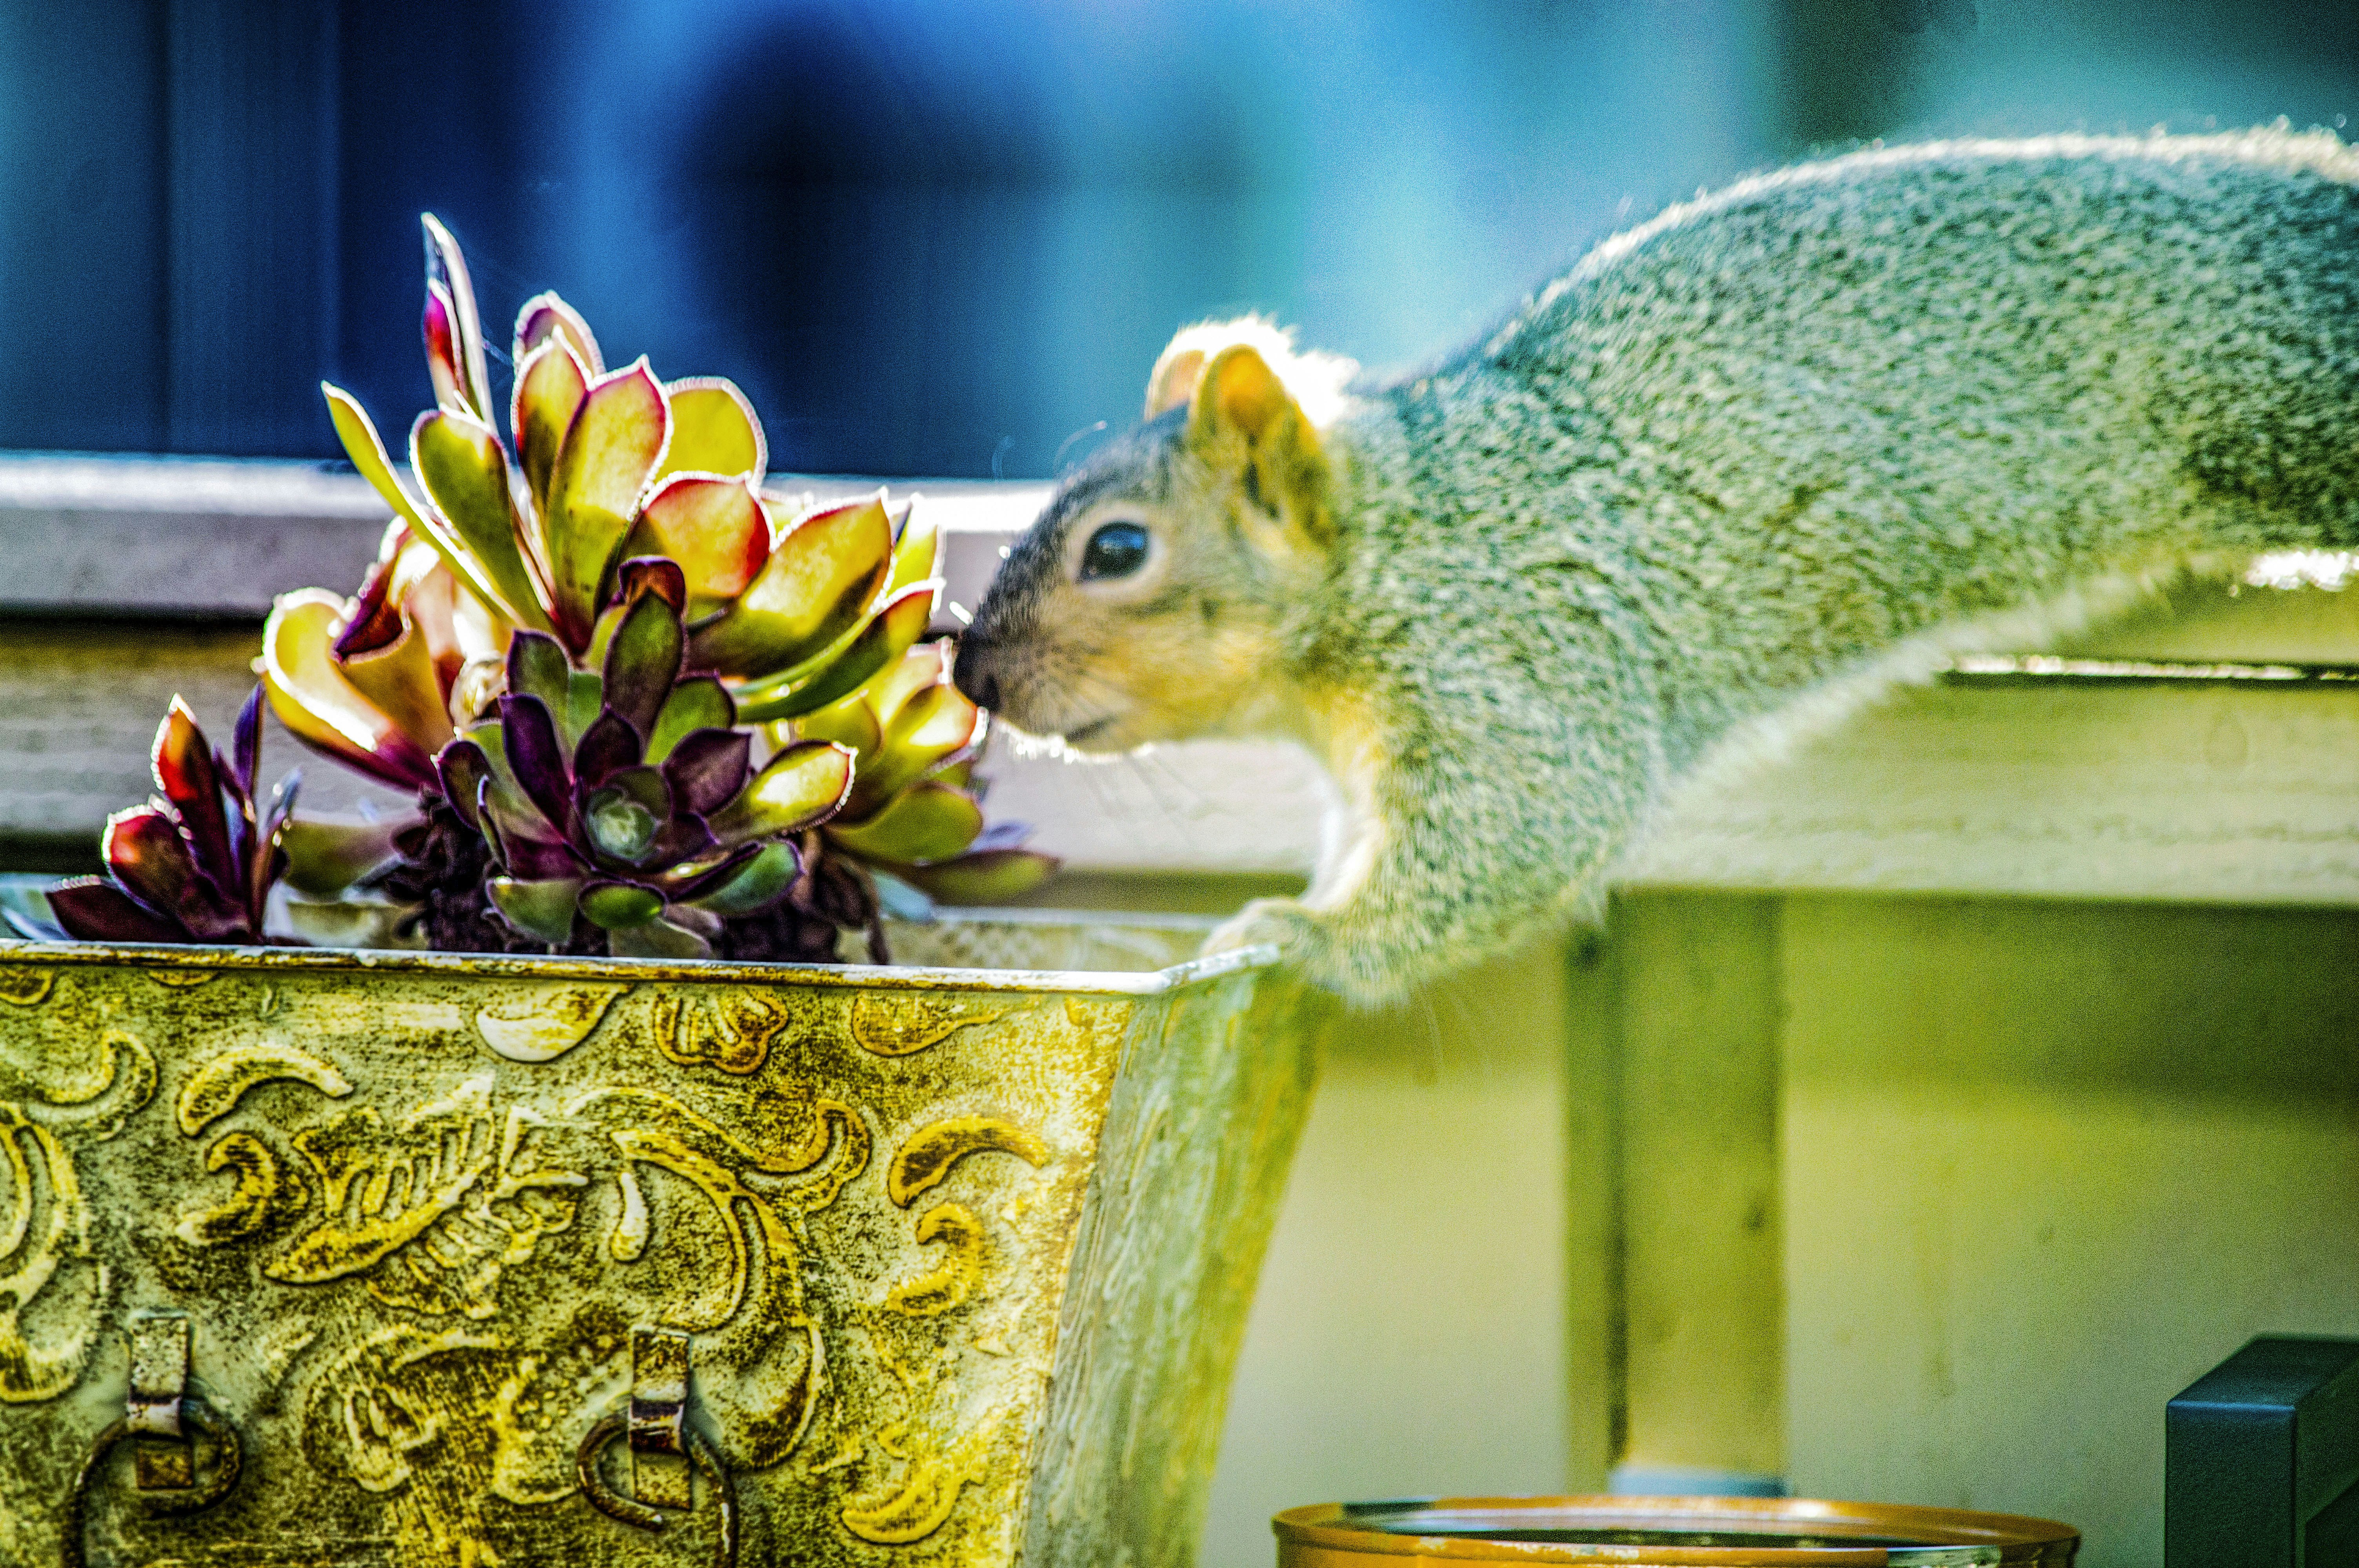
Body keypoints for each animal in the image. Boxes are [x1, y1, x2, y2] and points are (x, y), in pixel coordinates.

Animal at [952, 128, 2359, 1008]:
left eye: (1117, 550)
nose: (969, 673)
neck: (1403, 541)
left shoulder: (1514, 657)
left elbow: (1524, 830)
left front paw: (1304, 937)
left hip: (2283, 403)